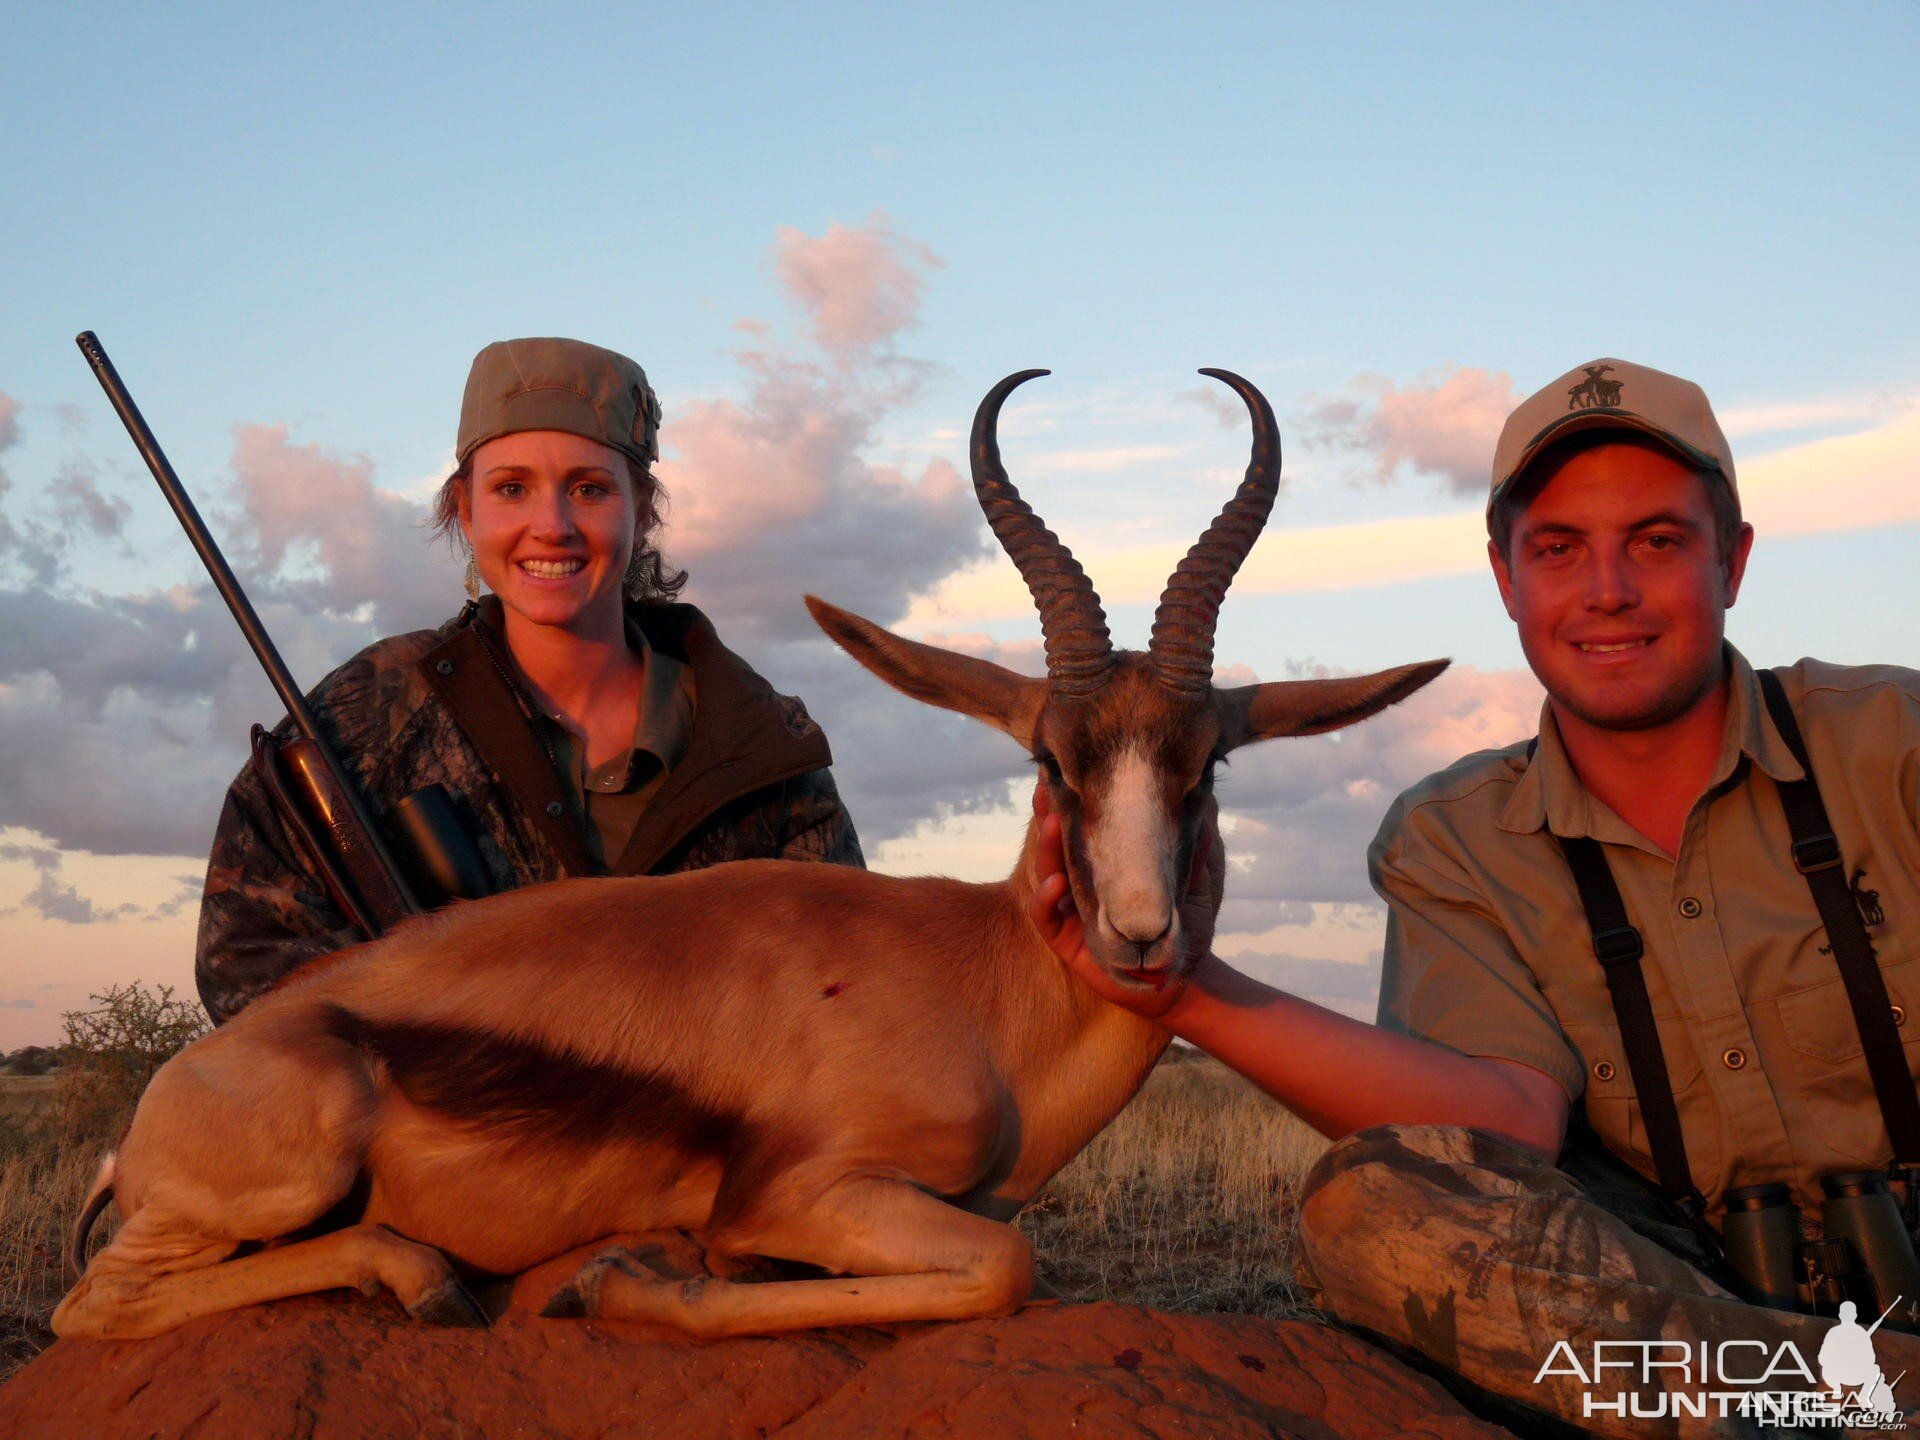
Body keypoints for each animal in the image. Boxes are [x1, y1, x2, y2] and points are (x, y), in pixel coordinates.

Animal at [52, 368, 1443, 1344]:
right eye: (1053, 764)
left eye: (1204, 769)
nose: (1141, 935)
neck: (982, 989)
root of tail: (166, 1106)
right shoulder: (799, 1195)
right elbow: (1004, 1265)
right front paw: (619, 1283)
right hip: (293, 1158)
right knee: (90, 1307)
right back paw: (428, 1279)